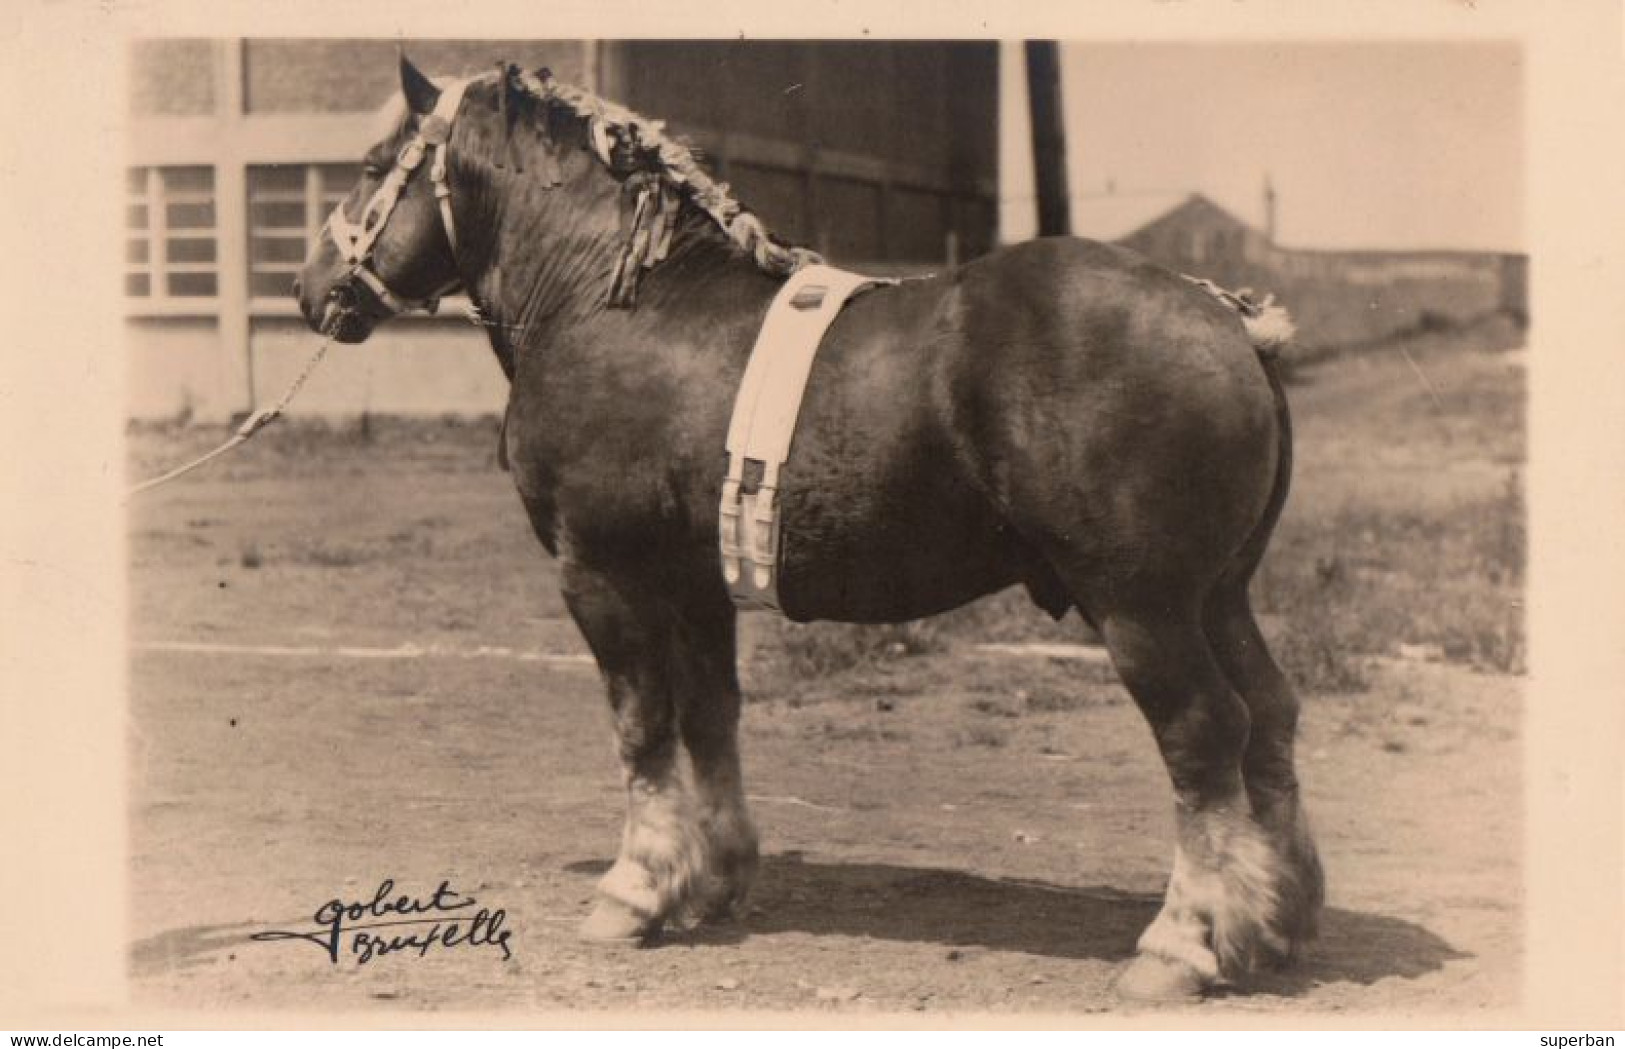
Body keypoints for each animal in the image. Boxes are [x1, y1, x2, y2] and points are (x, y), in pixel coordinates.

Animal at [299, 59, 1326, 1000]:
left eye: (373, 164)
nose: (312, 289)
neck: (609, 297)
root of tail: (1224, 319)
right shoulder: (696, 586)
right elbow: (709, 717)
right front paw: (712, 880)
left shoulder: (601, 574)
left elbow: (641, 725)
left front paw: (634, 891)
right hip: (1217, 597)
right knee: (1270, 713)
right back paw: (1278, 915)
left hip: (1142, 610)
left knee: (1204, 732)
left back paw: (1182, 944)